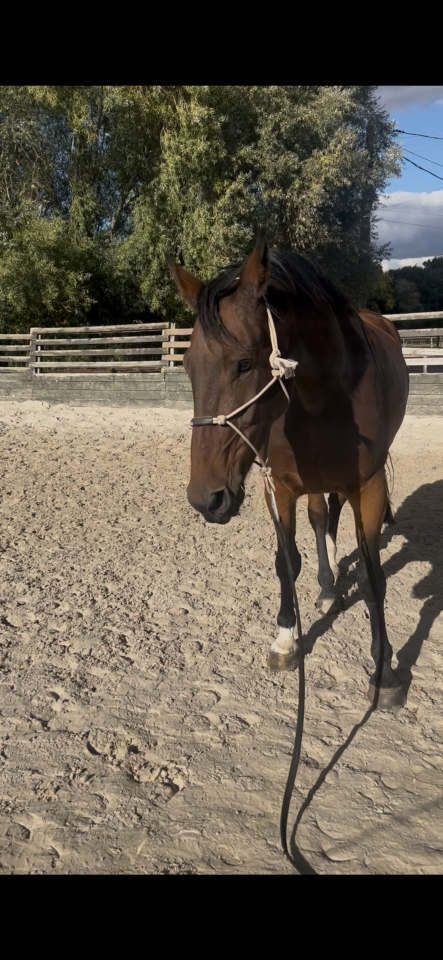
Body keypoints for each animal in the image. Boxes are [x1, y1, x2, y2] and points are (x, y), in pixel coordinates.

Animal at [167, 235, 409, 710]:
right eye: (187, 366)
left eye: (244, 364)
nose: (206, 500)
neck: (324, 397)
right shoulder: (278, 486)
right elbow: (287, 561)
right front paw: (285, 639)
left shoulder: (368, 487)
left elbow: (373, 578)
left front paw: (386, 671)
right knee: (320, 518)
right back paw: (328, 587)